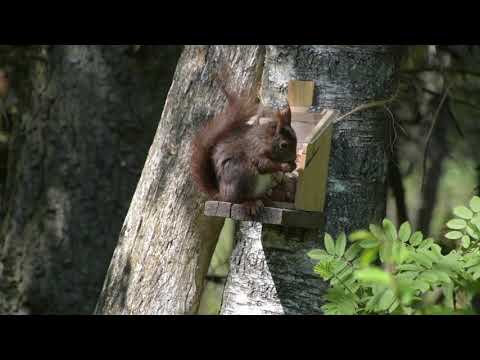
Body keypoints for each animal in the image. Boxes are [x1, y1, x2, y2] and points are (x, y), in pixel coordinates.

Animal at [190, 78, 296, 217]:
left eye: (296, 138)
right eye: (283, 145)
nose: (294, 157)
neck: (265, 140)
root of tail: (222, 195)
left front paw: (293, 165)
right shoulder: (254, 152)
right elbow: (264, 165)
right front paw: (285, 166)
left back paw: (266, 200)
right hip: (241, 175)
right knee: (237, 200)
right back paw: (249, 203)